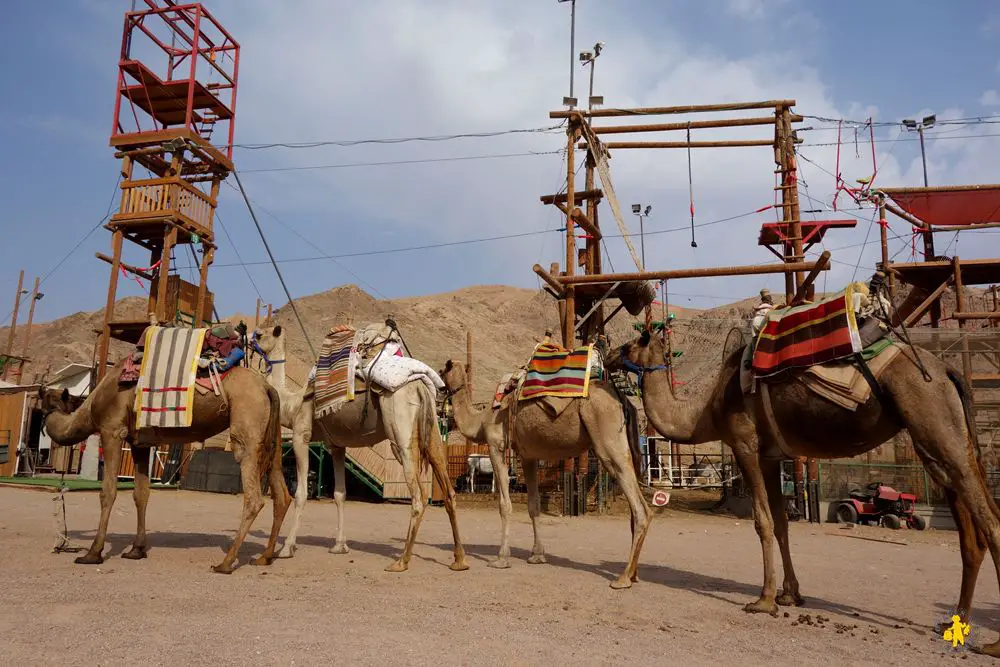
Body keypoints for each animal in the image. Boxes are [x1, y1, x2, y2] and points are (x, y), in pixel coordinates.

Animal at [39, 360, 290, 576]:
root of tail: (266, 386)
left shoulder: (112, 430)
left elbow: (108, 492)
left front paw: (93, 553)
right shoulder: (138, 442)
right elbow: (141, 494)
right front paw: (136, 550)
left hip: (247, 423)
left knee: (254, 496)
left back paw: (226, 563)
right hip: (272, 433)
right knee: (281, 494)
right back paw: (265, 557)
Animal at [438, 358, 648, 588]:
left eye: (440, 372)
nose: (438, 393)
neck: (481, 420)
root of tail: (621, 400)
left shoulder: (496, 445)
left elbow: (504, 504)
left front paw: (501, 558)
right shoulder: (528, 455)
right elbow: (534, 505)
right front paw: (537, 555)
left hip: (607, 437)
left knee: (640, 507)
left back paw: (623, 577)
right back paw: (634, 573)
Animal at [612, 332, 1000, 656]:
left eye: (631, 344)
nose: (612, 355)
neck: (706, 411)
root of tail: (946, 369)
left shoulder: (745, 444)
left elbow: (762, 521)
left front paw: (764, 599)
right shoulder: (771, 457)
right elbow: (782, 523)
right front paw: (790, 594)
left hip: (931, 416)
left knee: (989, 521)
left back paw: (990, 644)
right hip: (941, 436)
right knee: (970, 526)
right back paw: (955, 622)